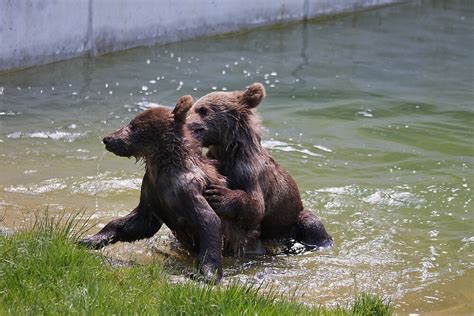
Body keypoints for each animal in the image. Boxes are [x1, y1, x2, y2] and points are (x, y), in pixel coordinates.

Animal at [81, 96, 260, 284]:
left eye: (133, 125)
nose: (108, 139)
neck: (163, 166)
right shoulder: (152, 189)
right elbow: (139, 221)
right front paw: (91, 239)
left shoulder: (187, 189)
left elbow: (209, 221)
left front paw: (206, 273)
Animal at [185, 82, 334, 249]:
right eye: (192, 109)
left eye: (203, 110)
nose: (187, 123)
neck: (228, 151)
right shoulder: (216, 160)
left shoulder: (250, 172)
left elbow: (256, 208)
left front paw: (219, 195)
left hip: (291, 219)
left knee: (311, 224)